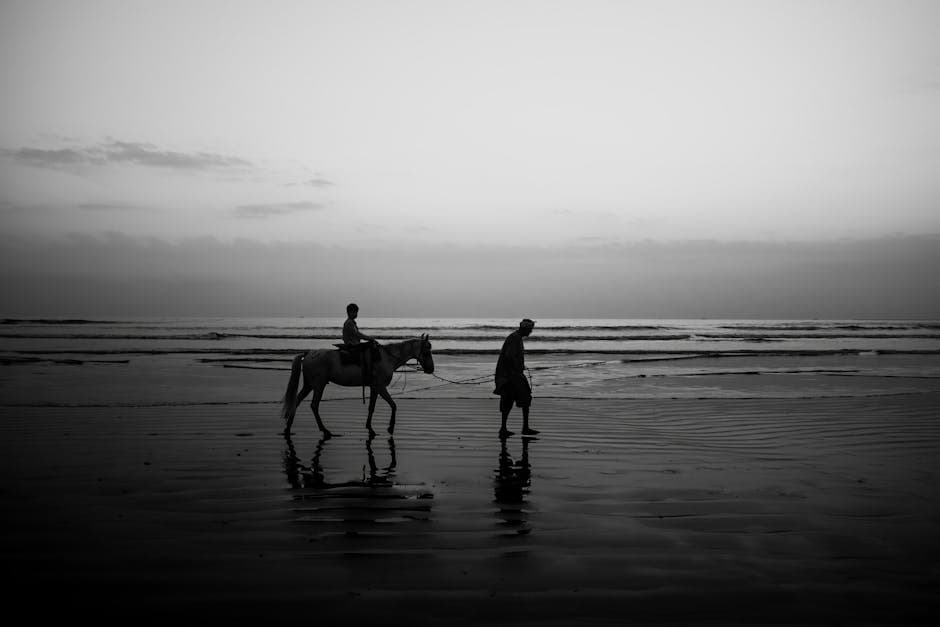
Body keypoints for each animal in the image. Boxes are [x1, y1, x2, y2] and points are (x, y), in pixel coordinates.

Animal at [280, 336, 436, 440]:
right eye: (426, 352)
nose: (431, 369)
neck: (387, 358)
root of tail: (308, 354)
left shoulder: (374, 388)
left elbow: (372, 408)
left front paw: (370, 428)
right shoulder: (380, 387)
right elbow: (393, 405)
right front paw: (390, 427)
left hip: (309, 385)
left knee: (297, 400)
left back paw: (288, 427)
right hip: (319, 385)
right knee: (314, 405)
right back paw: (325, 430)